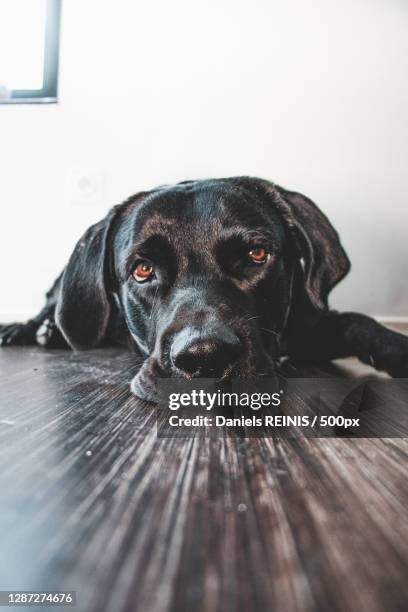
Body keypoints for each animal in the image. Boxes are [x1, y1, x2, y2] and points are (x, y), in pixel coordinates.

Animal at [0, 177, 408, 400]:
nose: (205, 357)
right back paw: (27, 329)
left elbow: (358, 322)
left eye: (256, 254)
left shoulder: (308, 325)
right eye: (142, 270)